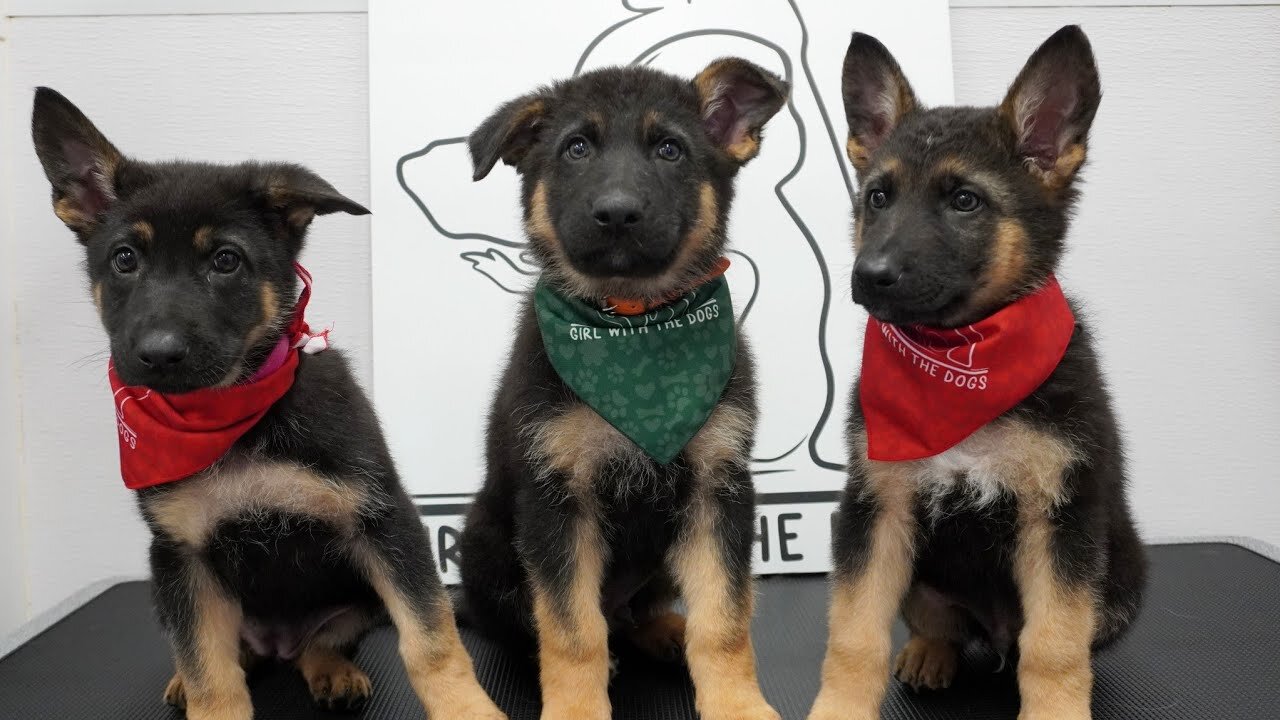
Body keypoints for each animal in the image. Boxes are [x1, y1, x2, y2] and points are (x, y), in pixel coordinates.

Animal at [28, 88, 499, 717]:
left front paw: (468, 708)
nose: (157, 355)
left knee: (321, 643)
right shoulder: (182, 556)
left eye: (226, 260)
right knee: (227, 655)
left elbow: (432, 640)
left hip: (355, 601)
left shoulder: (386, 522)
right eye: (125, 259)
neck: (234, 416)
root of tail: (279, 641)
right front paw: (204, 696)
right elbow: (210, 673)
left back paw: (331, 669)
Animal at [455, 60, 783, 717]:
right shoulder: (557, 499)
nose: (617, 213)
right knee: (542, 626)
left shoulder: (718, 489)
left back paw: (664, 632)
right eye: (576, 148)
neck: (632, 321)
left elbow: (724, 619)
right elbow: (570, 628)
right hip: (485, 545)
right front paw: (576, 708)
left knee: (637, 613)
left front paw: (737, 703)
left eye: (670, 150)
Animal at [803, 26, 1146, 717]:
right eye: (878, 197)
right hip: (919, 571)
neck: (960, 356)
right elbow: (853, 633)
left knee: (1041, 643)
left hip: (1117, 581)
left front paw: (1058, 709)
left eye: (965, 201)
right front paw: (839, 707)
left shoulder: (1060, 522)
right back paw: (930, 654)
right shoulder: (875, 510)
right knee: (941, 624)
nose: (868, 276)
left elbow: (1054, 646)